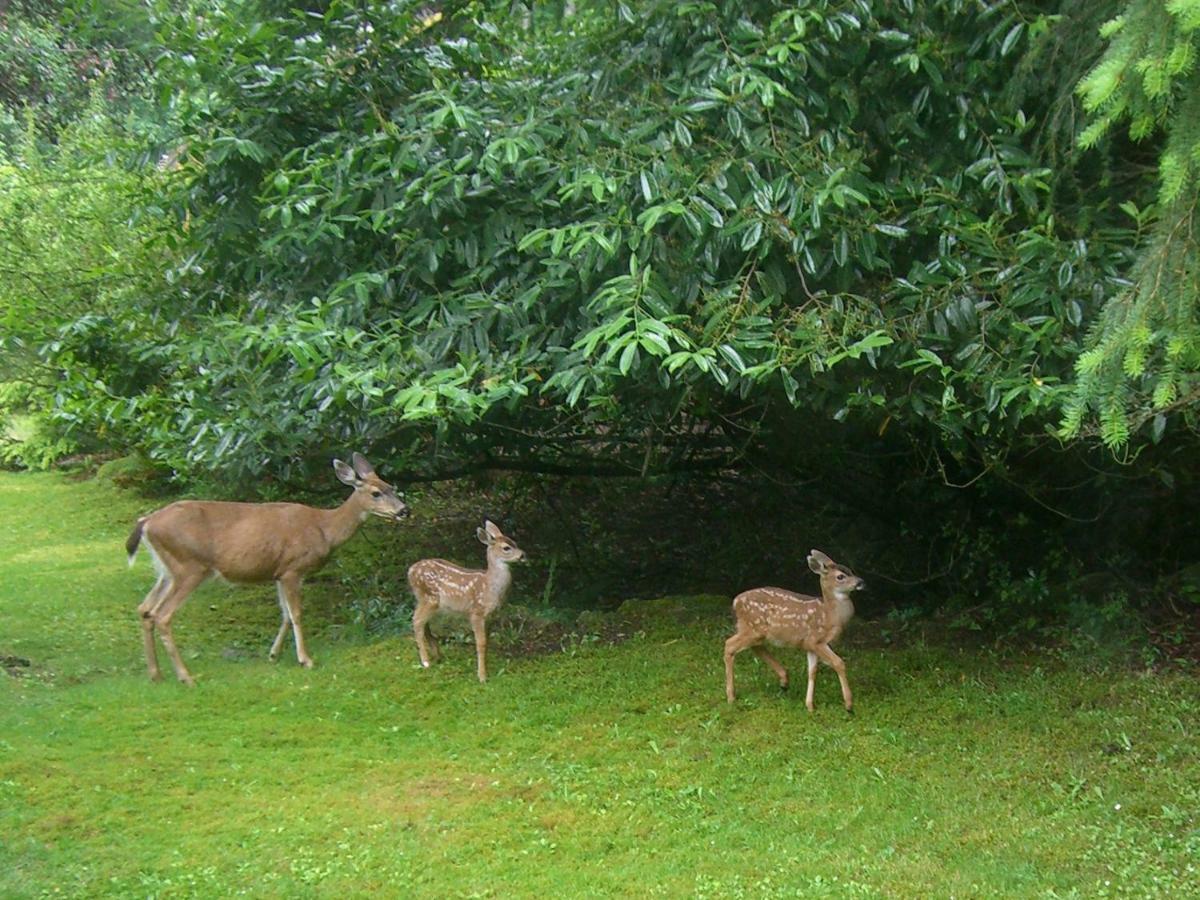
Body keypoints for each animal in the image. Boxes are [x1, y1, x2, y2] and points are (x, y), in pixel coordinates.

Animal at [126, 453, 408, 686]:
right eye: (375, 493)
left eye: (392, 487)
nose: (404, 510)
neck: (324, 529)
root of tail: (146, 522)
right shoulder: (293, 568)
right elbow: (296, 613)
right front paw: (305, 659)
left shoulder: (278, 572)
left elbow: (285, 614)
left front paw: (273, 654)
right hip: (189, 567)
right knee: (162, 615)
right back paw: (185, 677)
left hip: (167, 570)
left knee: (145, 609)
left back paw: (156, 674)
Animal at [408, 520, 525, 681]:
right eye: (506, 548)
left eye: (515, 542)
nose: (523, 555)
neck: (490, 587)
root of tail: (410, 571)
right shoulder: (476, 612)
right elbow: (481, 643)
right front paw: (482, 676)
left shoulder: (490, 615)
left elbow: (487, 642)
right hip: (430, 598)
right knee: (417, 620)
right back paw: (426, 661)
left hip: (424, 599)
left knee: (422, 622)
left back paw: (437, 655)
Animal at [720, 549, 864, 710]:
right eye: (840, 576)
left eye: (851, 570)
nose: (860, 582)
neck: (831, 615)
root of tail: (735, 602)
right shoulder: (816, 639)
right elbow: (839, 663)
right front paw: (849, 704)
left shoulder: (810, 646)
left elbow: (812, 671)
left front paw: (810, 706)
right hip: (753, 627)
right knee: (729, 645)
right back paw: (731, 696)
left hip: (755, 631)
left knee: (755, 647)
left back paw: (784, 681)